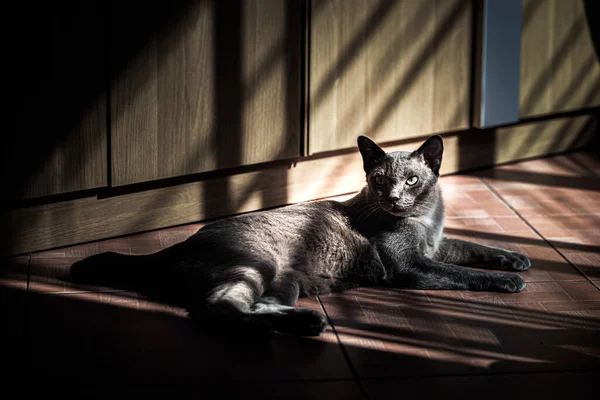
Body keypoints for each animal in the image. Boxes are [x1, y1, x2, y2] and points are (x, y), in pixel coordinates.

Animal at [71, 134, 528, 338]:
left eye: (412, 181)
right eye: (381, 182)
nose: (395, 199)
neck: (424, 219)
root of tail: (181, 244)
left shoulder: (438, 246)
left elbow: (476, 248)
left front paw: (517, 259)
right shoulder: (412, 267)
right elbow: (466, 274)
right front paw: (510, 281)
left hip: (284, 281)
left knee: (252, 305)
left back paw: (306, 322)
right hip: (258, 265)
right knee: (218, 308)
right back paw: (292, 327)